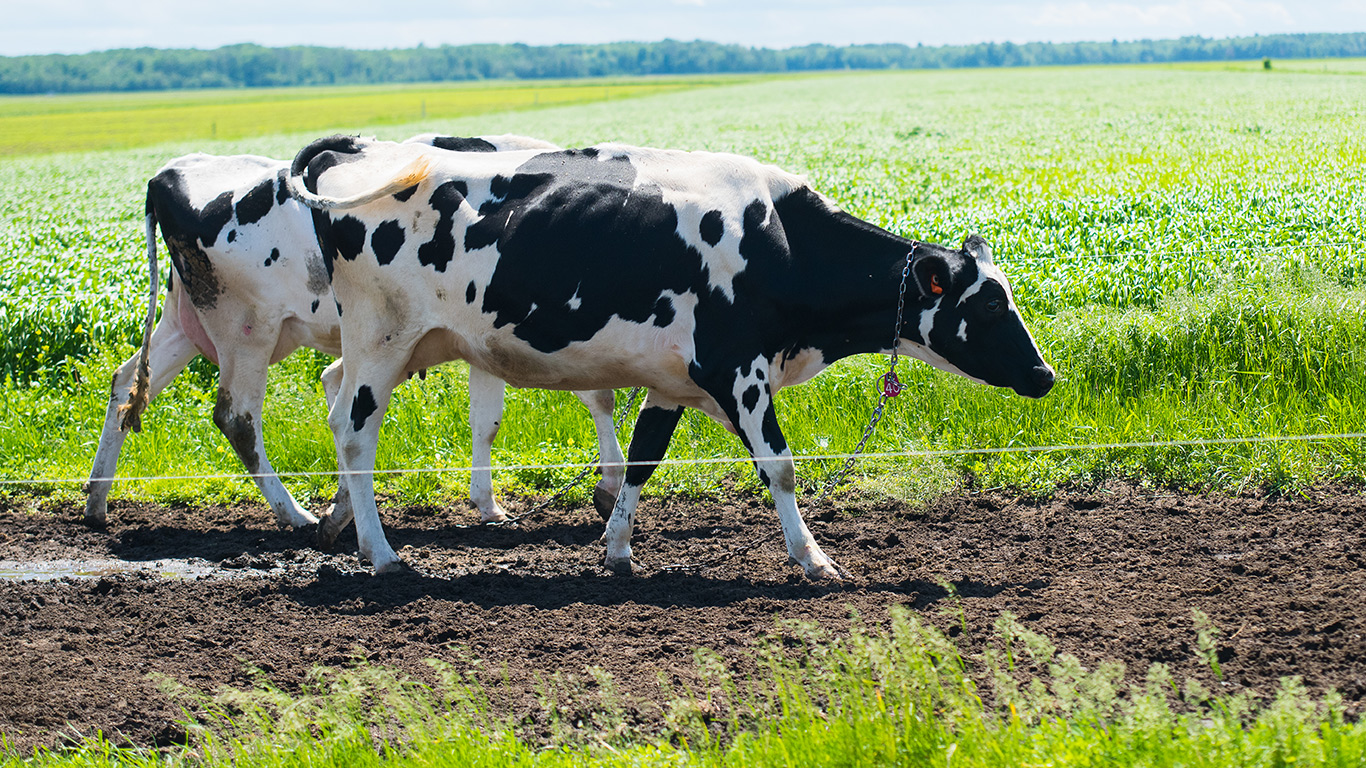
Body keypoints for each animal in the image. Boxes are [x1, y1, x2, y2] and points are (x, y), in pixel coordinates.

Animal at [90, 133, 628, 538]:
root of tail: (170, 172)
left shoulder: (489, 336)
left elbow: (485, 421)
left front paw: (487, 504)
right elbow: (596, 396)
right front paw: (607, 485)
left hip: (184, 322)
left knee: (124, 384)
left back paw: (96, 499)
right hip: (246, 328)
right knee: (237, 417)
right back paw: (294, 514)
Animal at [285, 135, 1054, 573]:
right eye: (990, 305)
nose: (1045, 374)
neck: (778, 244)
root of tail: (355, 153)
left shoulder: (676, 382)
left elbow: (643, 459)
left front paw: (618, 549)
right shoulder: (738, 372)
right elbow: (780, 467)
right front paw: (813, 559)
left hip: (392, 345)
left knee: (337, 408)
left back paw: (343, 526)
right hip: (382, 341)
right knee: (355, 434)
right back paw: (383, 554)